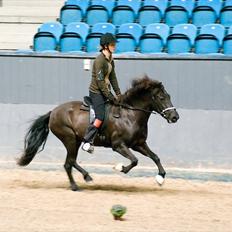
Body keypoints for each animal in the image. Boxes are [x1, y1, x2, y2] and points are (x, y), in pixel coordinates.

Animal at [17, 75, 179, 190]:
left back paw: (86, 177)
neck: (130, 114)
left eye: (169, 96)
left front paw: (160, 178)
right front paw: (120, 167)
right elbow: (134, 160)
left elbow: (155, 157)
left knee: (70, 161)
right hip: (69, 139)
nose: (175, 117)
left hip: (75, 140)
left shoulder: (138, 144)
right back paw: (76, 185)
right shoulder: (118, 145)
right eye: (161, 97)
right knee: (69, 163)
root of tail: (53, 112)